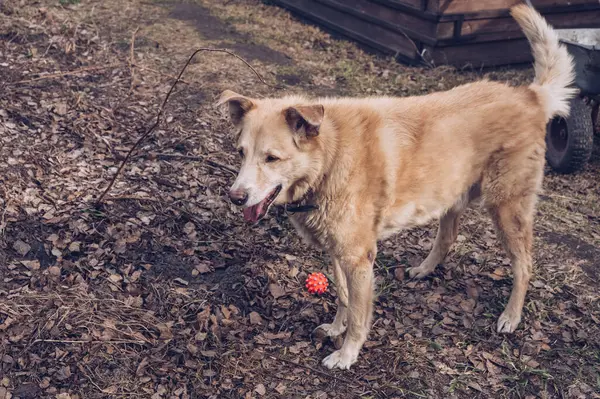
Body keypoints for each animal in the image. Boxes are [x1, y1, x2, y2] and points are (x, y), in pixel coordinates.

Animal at [217, 3, 576, 372]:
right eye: (241, 152)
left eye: (272, 158)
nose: (235, 197)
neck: (330, 158)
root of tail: (529, 95)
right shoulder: (338, 252)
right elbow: (343, 297)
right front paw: (335, 328)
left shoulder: (359, 259)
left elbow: (358, 314)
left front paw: (347, 353)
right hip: (452, 195)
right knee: (448, 237)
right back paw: (425, 269)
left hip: (506, 209)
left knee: (524, 265)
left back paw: (511, 316)